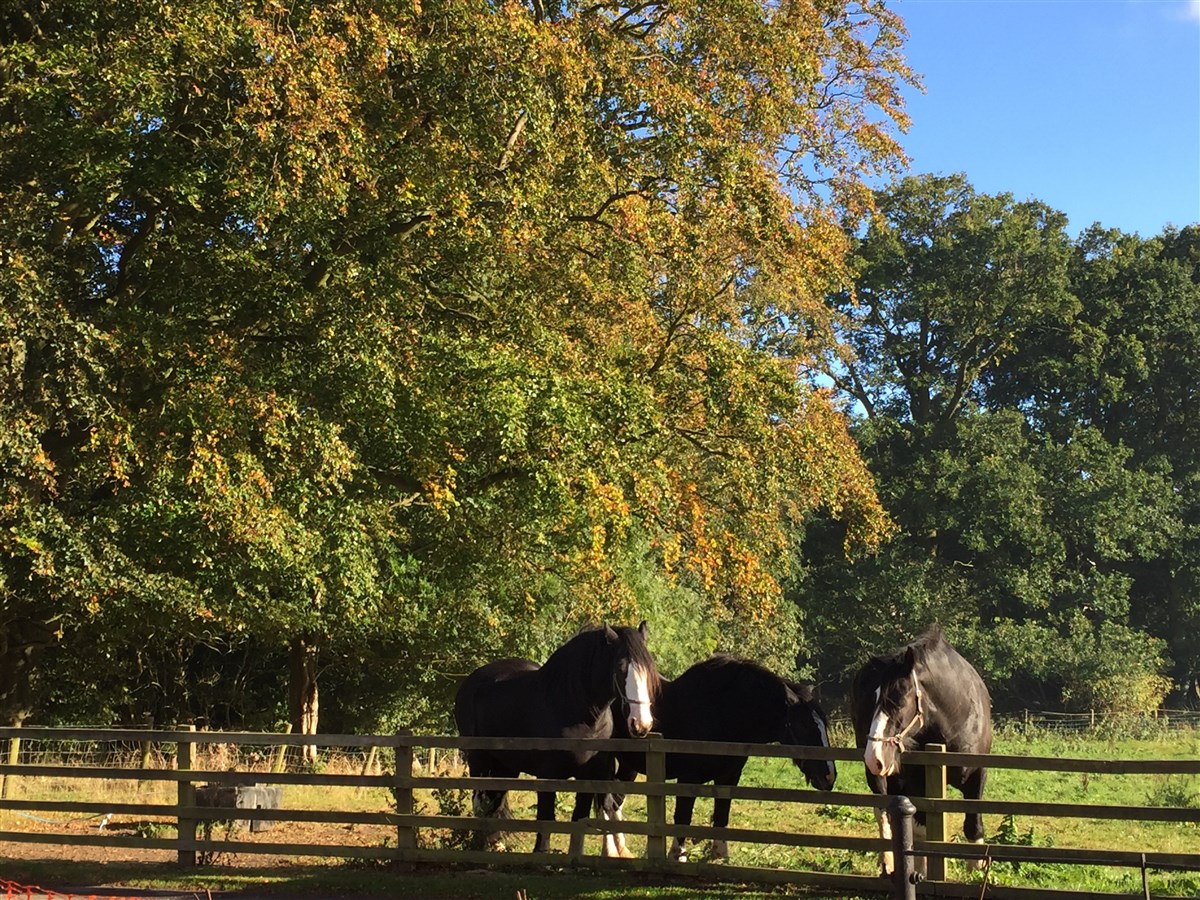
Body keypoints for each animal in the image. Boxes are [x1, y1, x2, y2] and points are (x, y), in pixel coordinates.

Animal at [452, 621, 661, 855]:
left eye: (649, 669)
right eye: (621, 668)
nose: (641, 724)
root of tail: (471, 681)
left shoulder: (590, 775)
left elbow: (580, 819)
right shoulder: (547, 775)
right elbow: (546, 818)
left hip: (506, 766)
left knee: (494, 803)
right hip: (479, 760)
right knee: (481, 804)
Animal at [574, 654, 837, 861]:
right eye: (804, 726)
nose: (829, 776)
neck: (720, 712)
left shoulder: (729, 777)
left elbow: (721, 815)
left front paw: (720, 855)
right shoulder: (688, 779)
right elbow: (683, 816)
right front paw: (677, 856)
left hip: (630, 765)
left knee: (614, 802)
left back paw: (621, 850)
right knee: (604, 802)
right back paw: (610, 851)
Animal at [851, 626, 992, 875]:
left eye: (898, 699)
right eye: (873, 698)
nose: (873, 756)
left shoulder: (977, 773)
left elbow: (973, 822)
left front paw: (976, 868)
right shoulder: (917, 782)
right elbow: (921, 829)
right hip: (883, 778)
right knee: (884, 814)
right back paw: (887, 863)